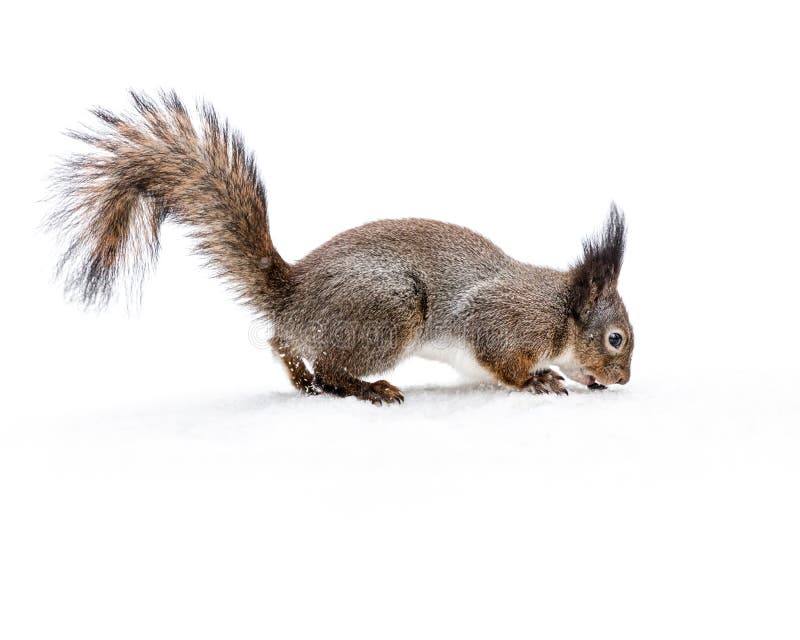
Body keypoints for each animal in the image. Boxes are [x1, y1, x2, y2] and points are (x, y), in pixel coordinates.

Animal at [48, 91, 634, 405]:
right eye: (616, 339)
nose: (622, 381)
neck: (557, 308)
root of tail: (292, 296)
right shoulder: (504, 321)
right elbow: (502, 361)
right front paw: (539, 380)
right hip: (390, 311)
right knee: (331, 364)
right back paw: (367, 388)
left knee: (281, 342)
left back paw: (304, 380)